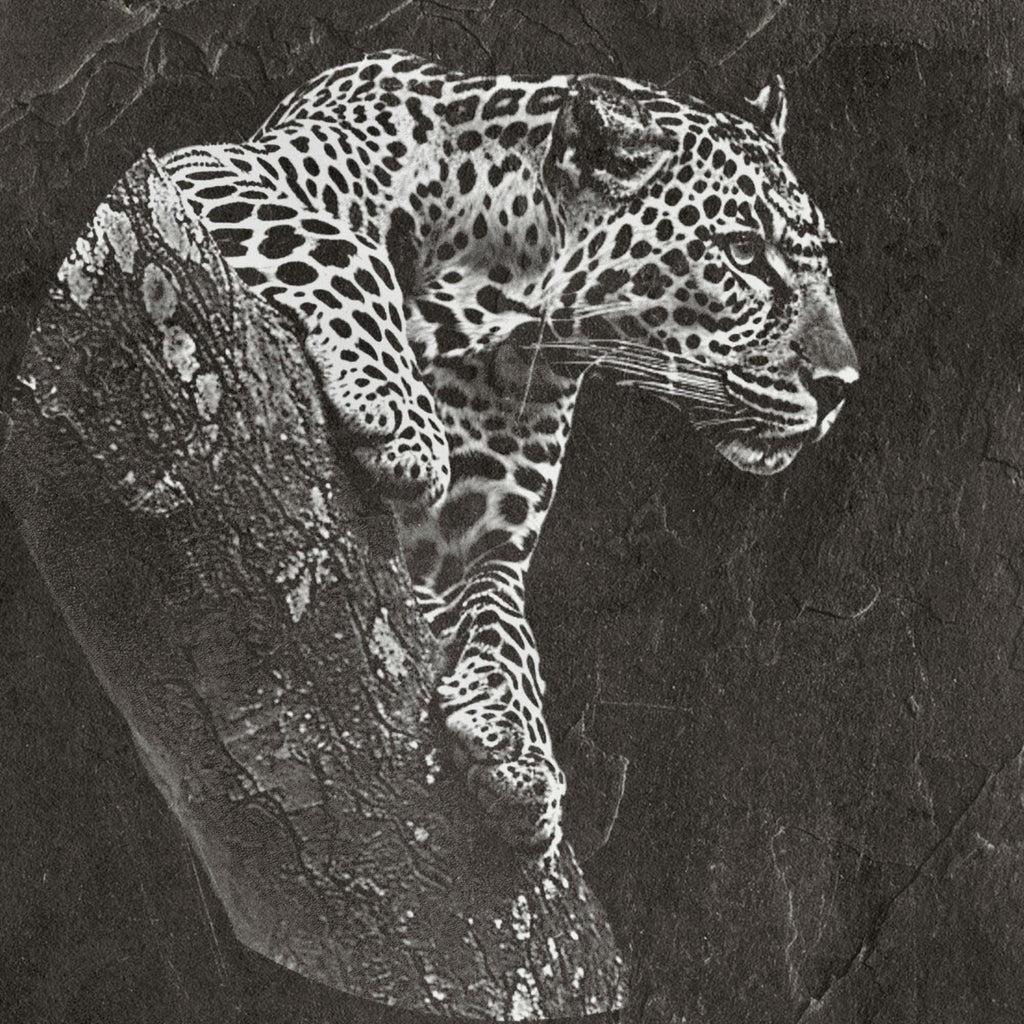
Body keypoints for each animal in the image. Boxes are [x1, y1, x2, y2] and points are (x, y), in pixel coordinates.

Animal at [160, 49, 859, 861]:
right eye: (744, 253)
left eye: (822, 262)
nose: (842, 386)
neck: (497, 291)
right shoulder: (201, 166)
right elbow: (335, 244)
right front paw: (398, 407)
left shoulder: (485, 545)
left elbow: (507, 617)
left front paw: (517, 739)